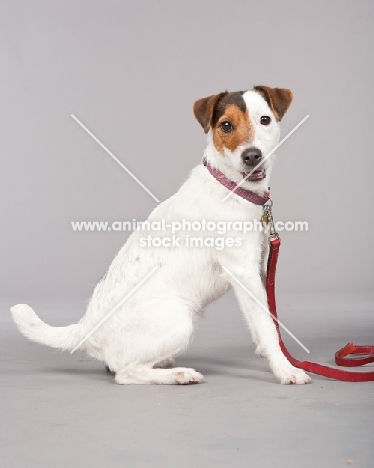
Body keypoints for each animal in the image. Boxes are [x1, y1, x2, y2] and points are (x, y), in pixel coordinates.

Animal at [10, 86, 312, 386]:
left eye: (265, 120)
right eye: (226, 125)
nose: (252, 156)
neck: (232, 189)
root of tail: (86, 330)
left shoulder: (259, 269)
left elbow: (268, 320)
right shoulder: (243, 273)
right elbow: (267, 328)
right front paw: (285, 369)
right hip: (179, 320)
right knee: (124, 373)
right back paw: (178, 375)